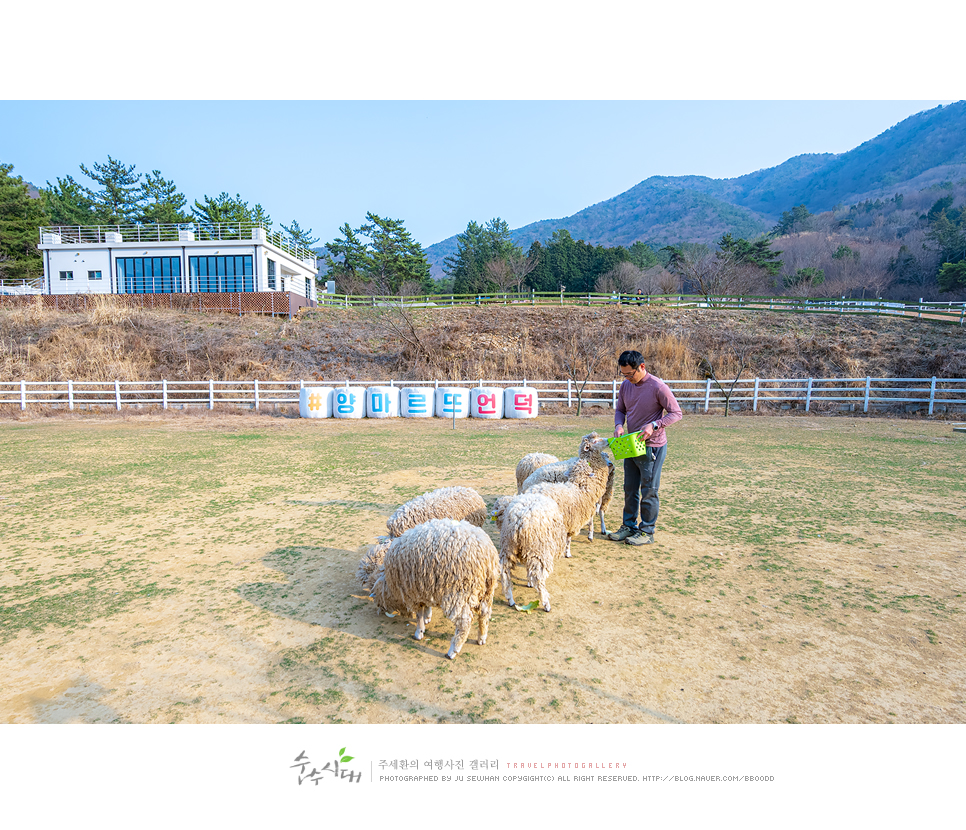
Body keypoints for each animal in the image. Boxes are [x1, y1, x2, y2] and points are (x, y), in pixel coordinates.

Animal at [368, 520, 502, 664]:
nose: (380, 610)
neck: (389, 582)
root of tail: (487, 553)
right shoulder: (424, 587)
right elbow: (426, 607)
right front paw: (428, 617)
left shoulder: (413, 593)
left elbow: (418, 615)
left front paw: (419, 632)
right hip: (487, 590)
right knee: (484, 614)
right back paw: (481, 637)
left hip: (460, 592)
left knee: (464, 624)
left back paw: (453, 650)